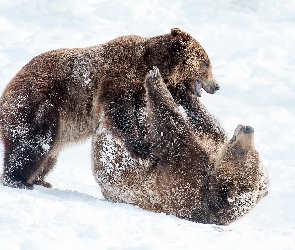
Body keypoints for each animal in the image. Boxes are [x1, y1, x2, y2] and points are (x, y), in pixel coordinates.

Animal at [0, 28, 220, 189]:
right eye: (206, 63)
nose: (216, 86)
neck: (148, 65)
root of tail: (6, 92)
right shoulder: (117, 80)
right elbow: (119, 114)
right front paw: (143, 148)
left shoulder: (139, 95)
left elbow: (141, 118)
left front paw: (148, 143)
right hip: (39, 103)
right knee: (33, 142)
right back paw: (18, 179)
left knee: (49, 154)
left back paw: (40, 179)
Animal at [93, 66, 270, 225]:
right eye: (256, 153)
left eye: (242, 153)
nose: (248, 129)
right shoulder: (210, 146)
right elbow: (208, 125)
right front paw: (185, 92)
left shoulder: (185, 179)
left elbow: (173, 129)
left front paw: (155, 78)